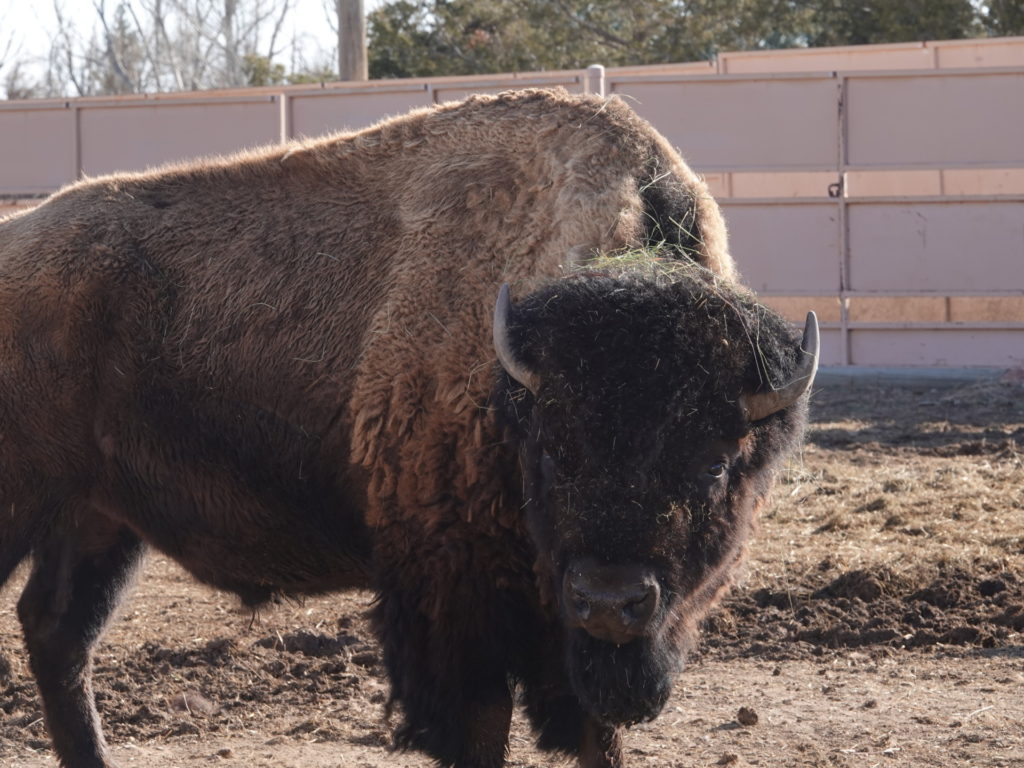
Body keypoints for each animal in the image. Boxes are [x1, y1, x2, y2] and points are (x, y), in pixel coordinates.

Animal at [0, 89, 816, 768]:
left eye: (715, 462)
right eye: (553, 453)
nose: (610, 600)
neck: (512, 383)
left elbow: (597, 734)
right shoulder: (454, 606)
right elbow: (482, 730)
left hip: (99, 518)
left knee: (57, 632)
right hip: (31, 508)